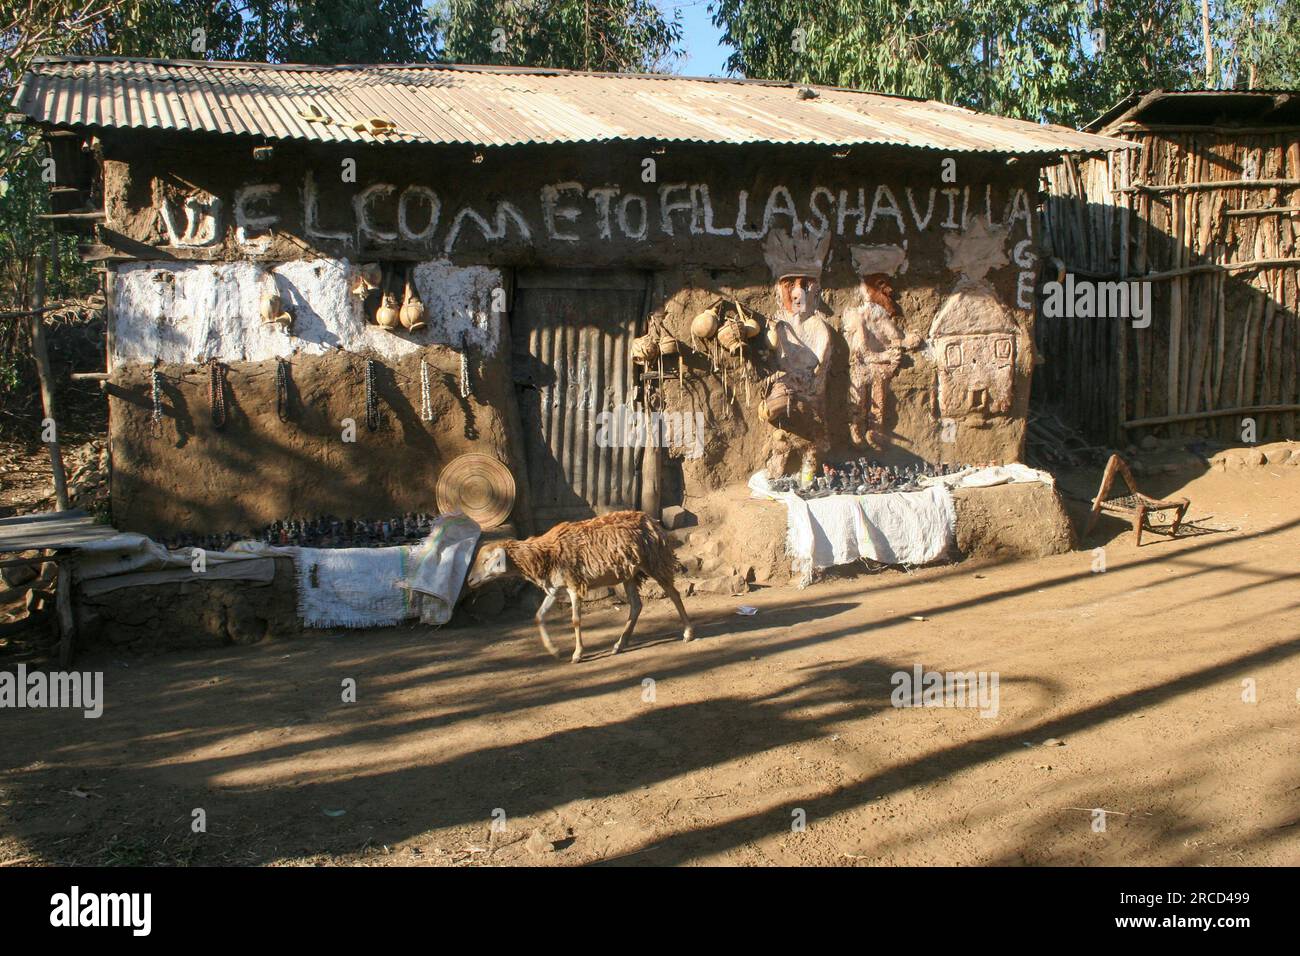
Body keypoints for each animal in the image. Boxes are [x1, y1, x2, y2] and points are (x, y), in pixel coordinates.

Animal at [465, 509, 691, 665]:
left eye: (486, 560)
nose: (469, 581)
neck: (544, 554)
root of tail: (652, 521)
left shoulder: (574, 584)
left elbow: (575, 620)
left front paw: (577, 654)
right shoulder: (555, 588)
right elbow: (539, 616)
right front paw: (553, 650)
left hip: (653, 561)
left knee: (674, 594)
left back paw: (688, 633)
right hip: (629, 573)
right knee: (636, 606)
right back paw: (619, 645)